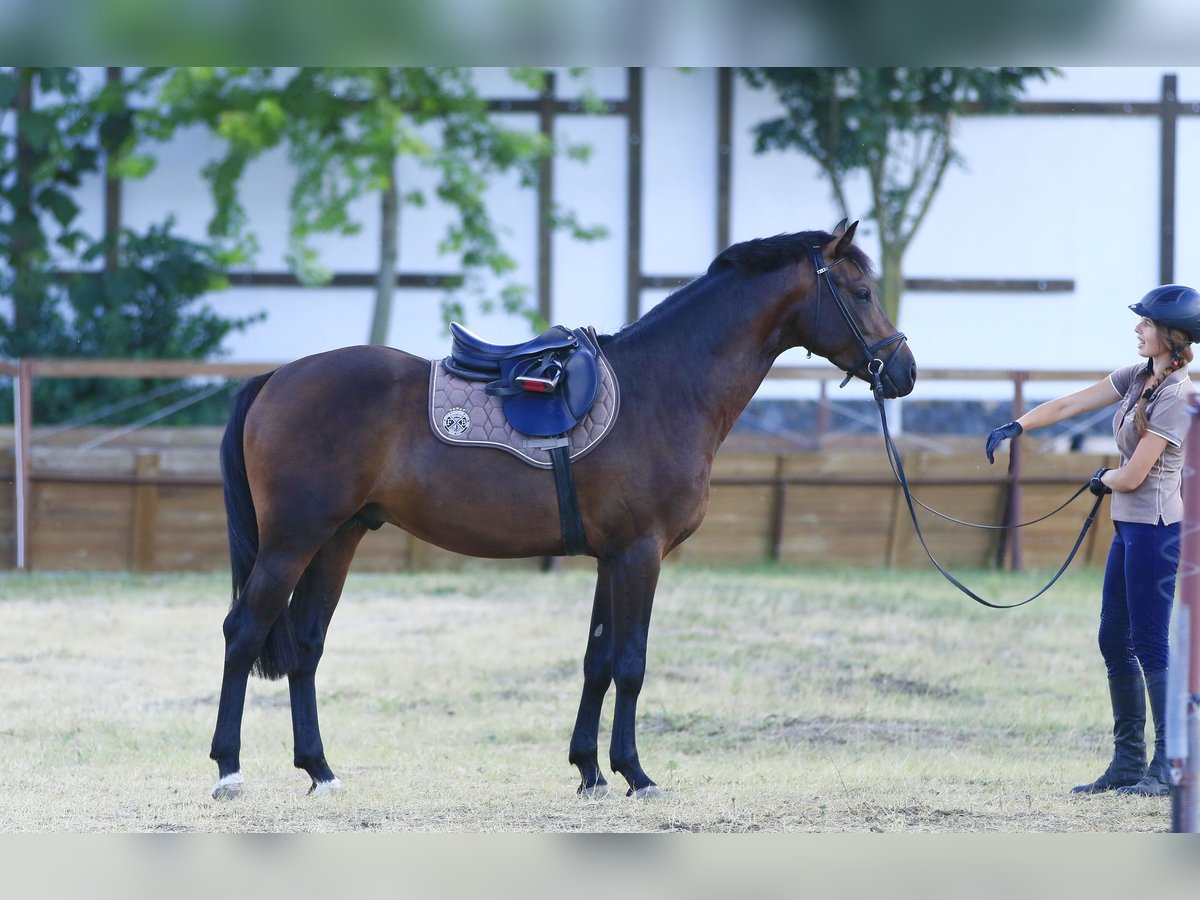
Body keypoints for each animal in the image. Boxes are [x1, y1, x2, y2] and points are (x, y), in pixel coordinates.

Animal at [211, 222, 912, 801]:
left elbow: (597, 662)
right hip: (291, 542)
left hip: (338, 538)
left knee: (306, 645)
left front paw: (590, 771)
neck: (665, 386)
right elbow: (631, 663)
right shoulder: (639, 554)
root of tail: (277, 378)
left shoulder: (612, 557)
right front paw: (635, 773)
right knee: (243, 632)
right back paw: (228, 769)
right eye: (858, 291)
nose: (902, 370)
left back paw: (320, 770)